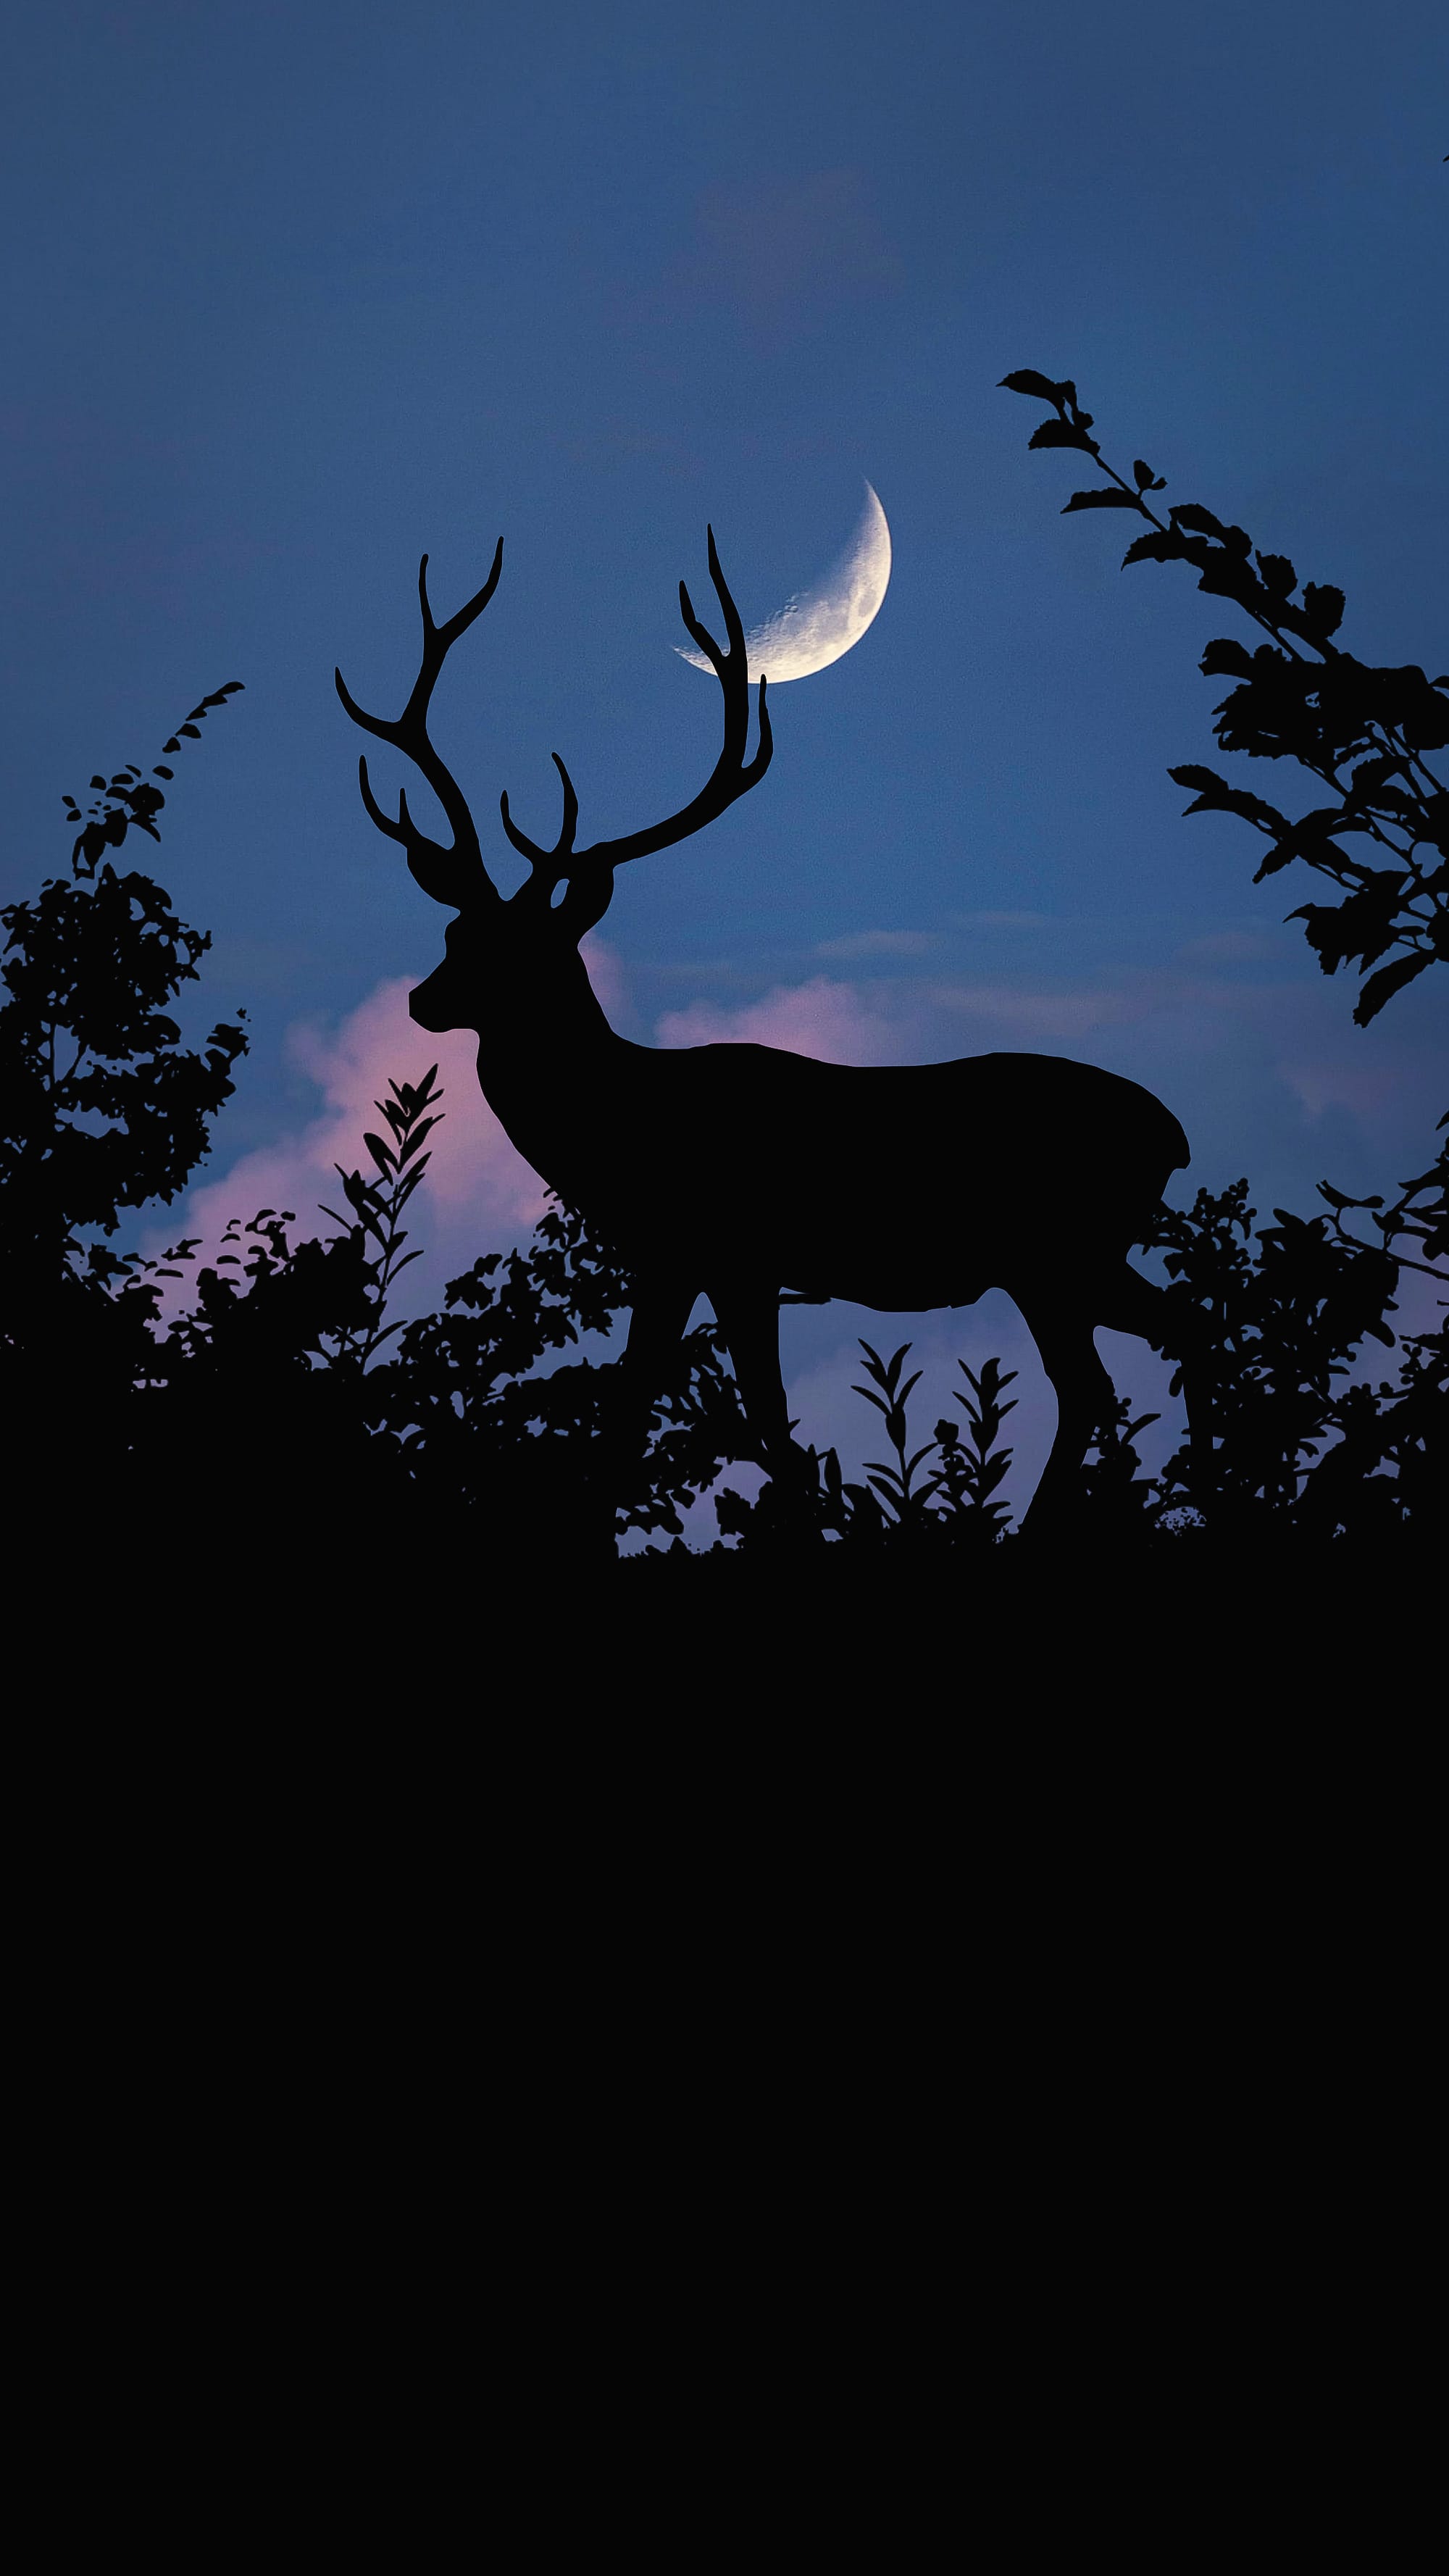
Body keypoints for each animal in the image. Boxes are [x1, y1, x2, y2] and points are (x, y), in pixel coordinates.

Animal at [335, 533, 1191, 1531]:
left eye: (529, 953)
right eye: (454, 934)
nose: (422, 1001)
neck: (620, 1131)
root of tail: (1170, 1134)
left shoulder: (730, 1250)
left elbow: (748, 1412)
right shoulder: (679, 1261)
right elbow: (661, 1403)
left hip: (1052, 1248)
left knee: (1090, 1379)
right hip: (1083, 1254)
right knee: (1176, 1329)